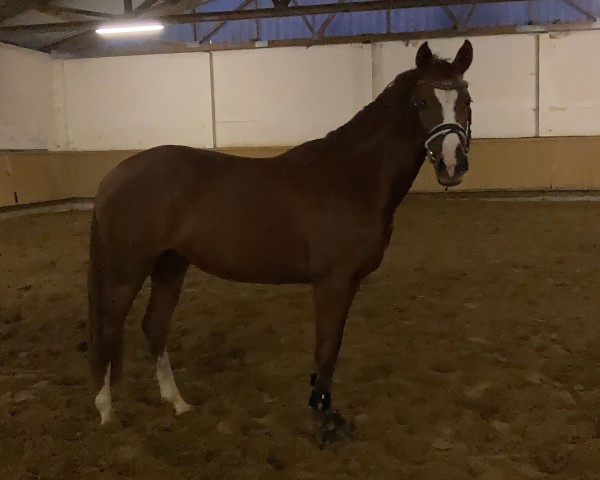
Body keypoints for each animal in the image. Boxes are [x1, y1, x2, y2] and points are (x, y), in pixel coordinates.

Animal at [88, 39, 474, 444]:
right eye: (420, 102)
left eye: (466, 101)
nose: (452, 165)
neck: (351, 178)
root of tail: (114, 176)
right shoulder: (332, 282)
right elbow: (326, 349)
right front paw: (324, 420)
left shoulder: (349, 283)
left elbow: (333, 348)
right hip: (126, 272)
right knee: (107, 329)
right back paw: (106, 413)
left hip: (170, 265)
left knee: (154, 326)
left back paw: (178, 403)